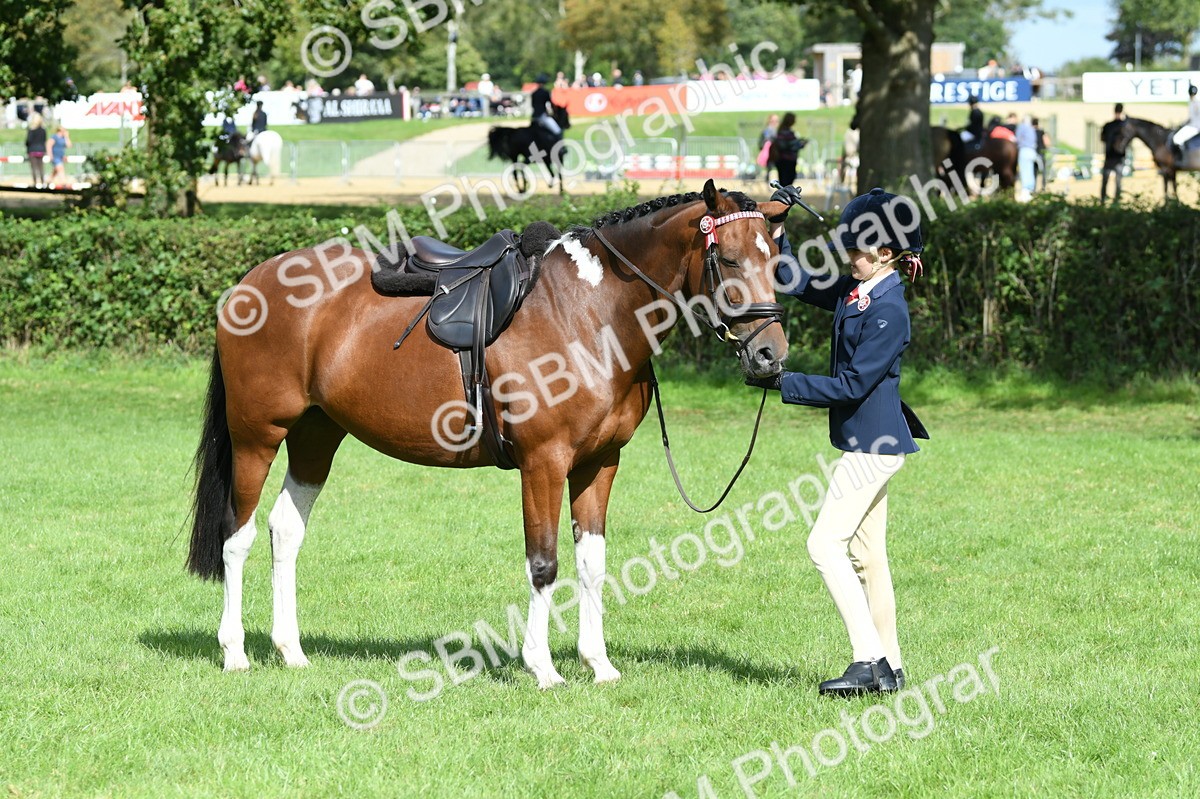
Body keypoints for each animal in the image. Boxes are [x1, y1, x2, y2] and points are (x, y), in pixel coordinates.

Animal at [187, 180, 790, 688]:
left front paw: (598, 663)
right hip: (257, 437)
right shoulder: (544, 462)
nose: (770, 355)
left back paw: (291, 651)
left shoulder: (599, 463)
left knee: (285, 530)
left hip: (317, 437)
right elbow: (544, 563)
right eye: (728, 258)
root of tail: (249, 283)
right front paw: (543, 668)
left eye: (777, 262)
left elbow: (591, 564)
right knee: (236, 537)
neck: (588, 311)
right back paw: (235, 652)